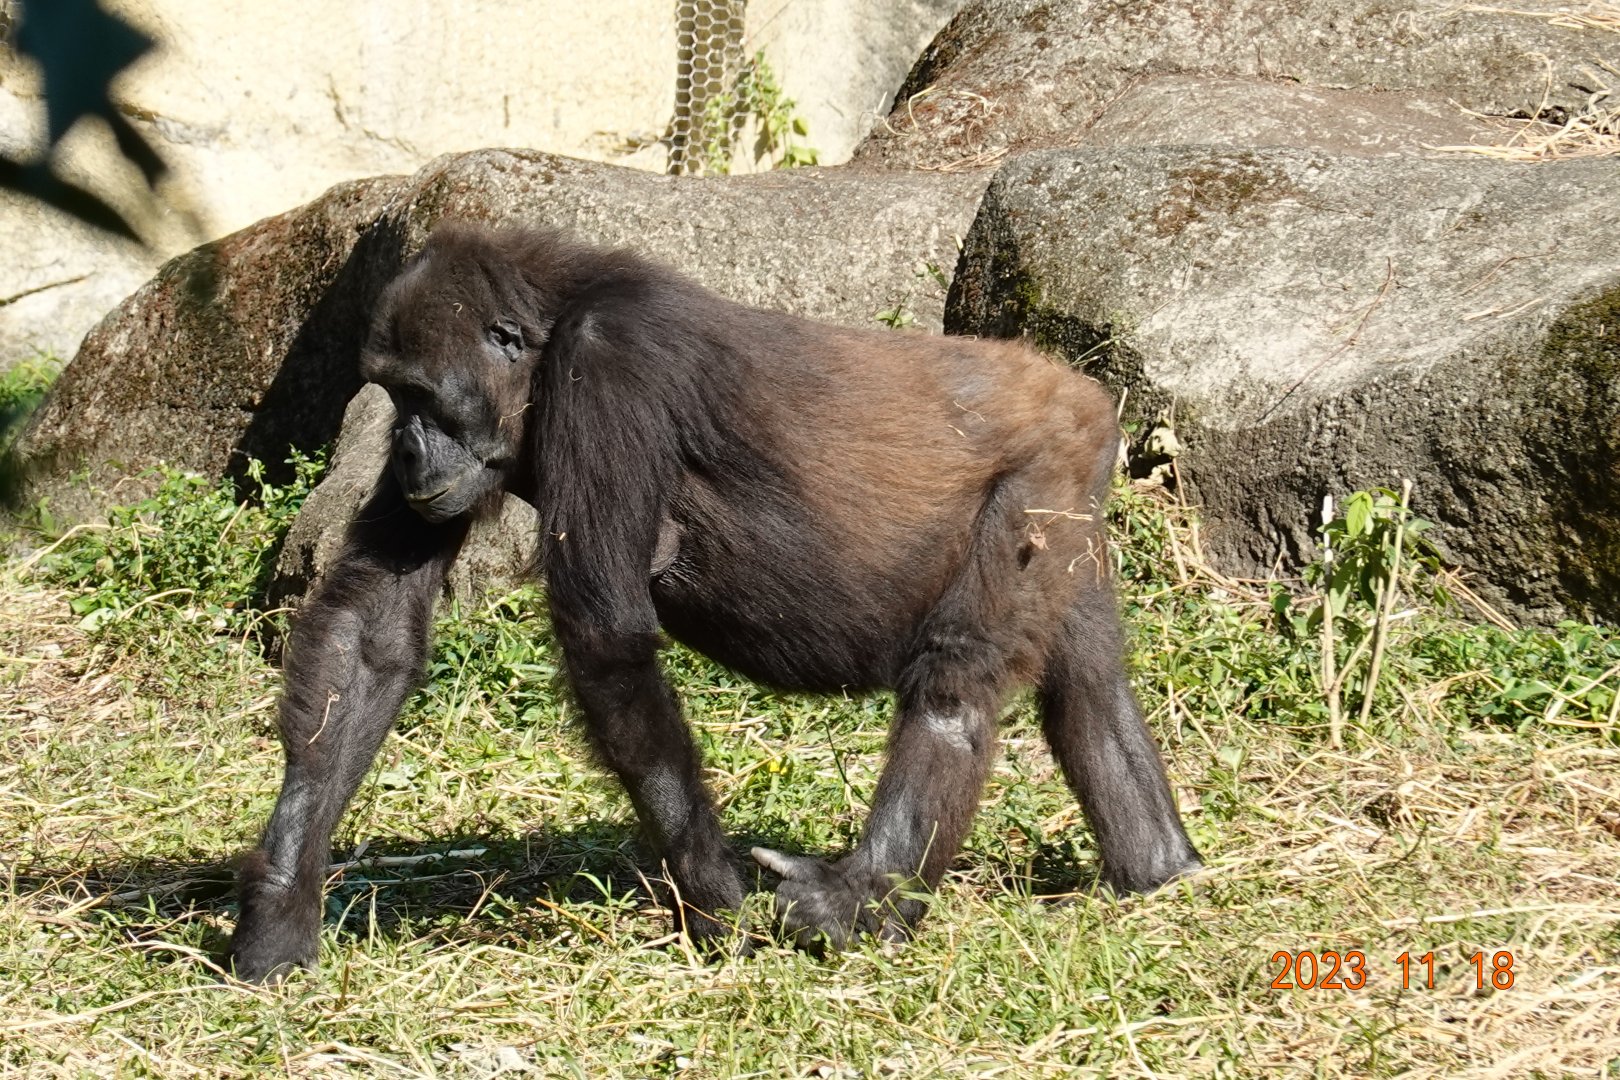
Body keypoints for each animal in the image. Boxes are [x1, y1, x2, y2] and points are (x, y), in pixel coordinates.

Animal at [228, 221, 1203, 981]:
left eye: (423, 396)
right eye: (393, 397)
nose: (406, 453)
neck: (550, 327)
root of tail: (1079, 388)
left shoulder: (608, 364)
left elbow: (607, 644)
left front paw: (713, 898)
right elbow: (370, 639)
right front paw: (279, 910)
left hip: (1045, 466)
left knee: (956, 683)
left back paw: (858, 900)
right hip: (1075, 492)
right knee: (1087, 677)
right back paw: (1159, 867)